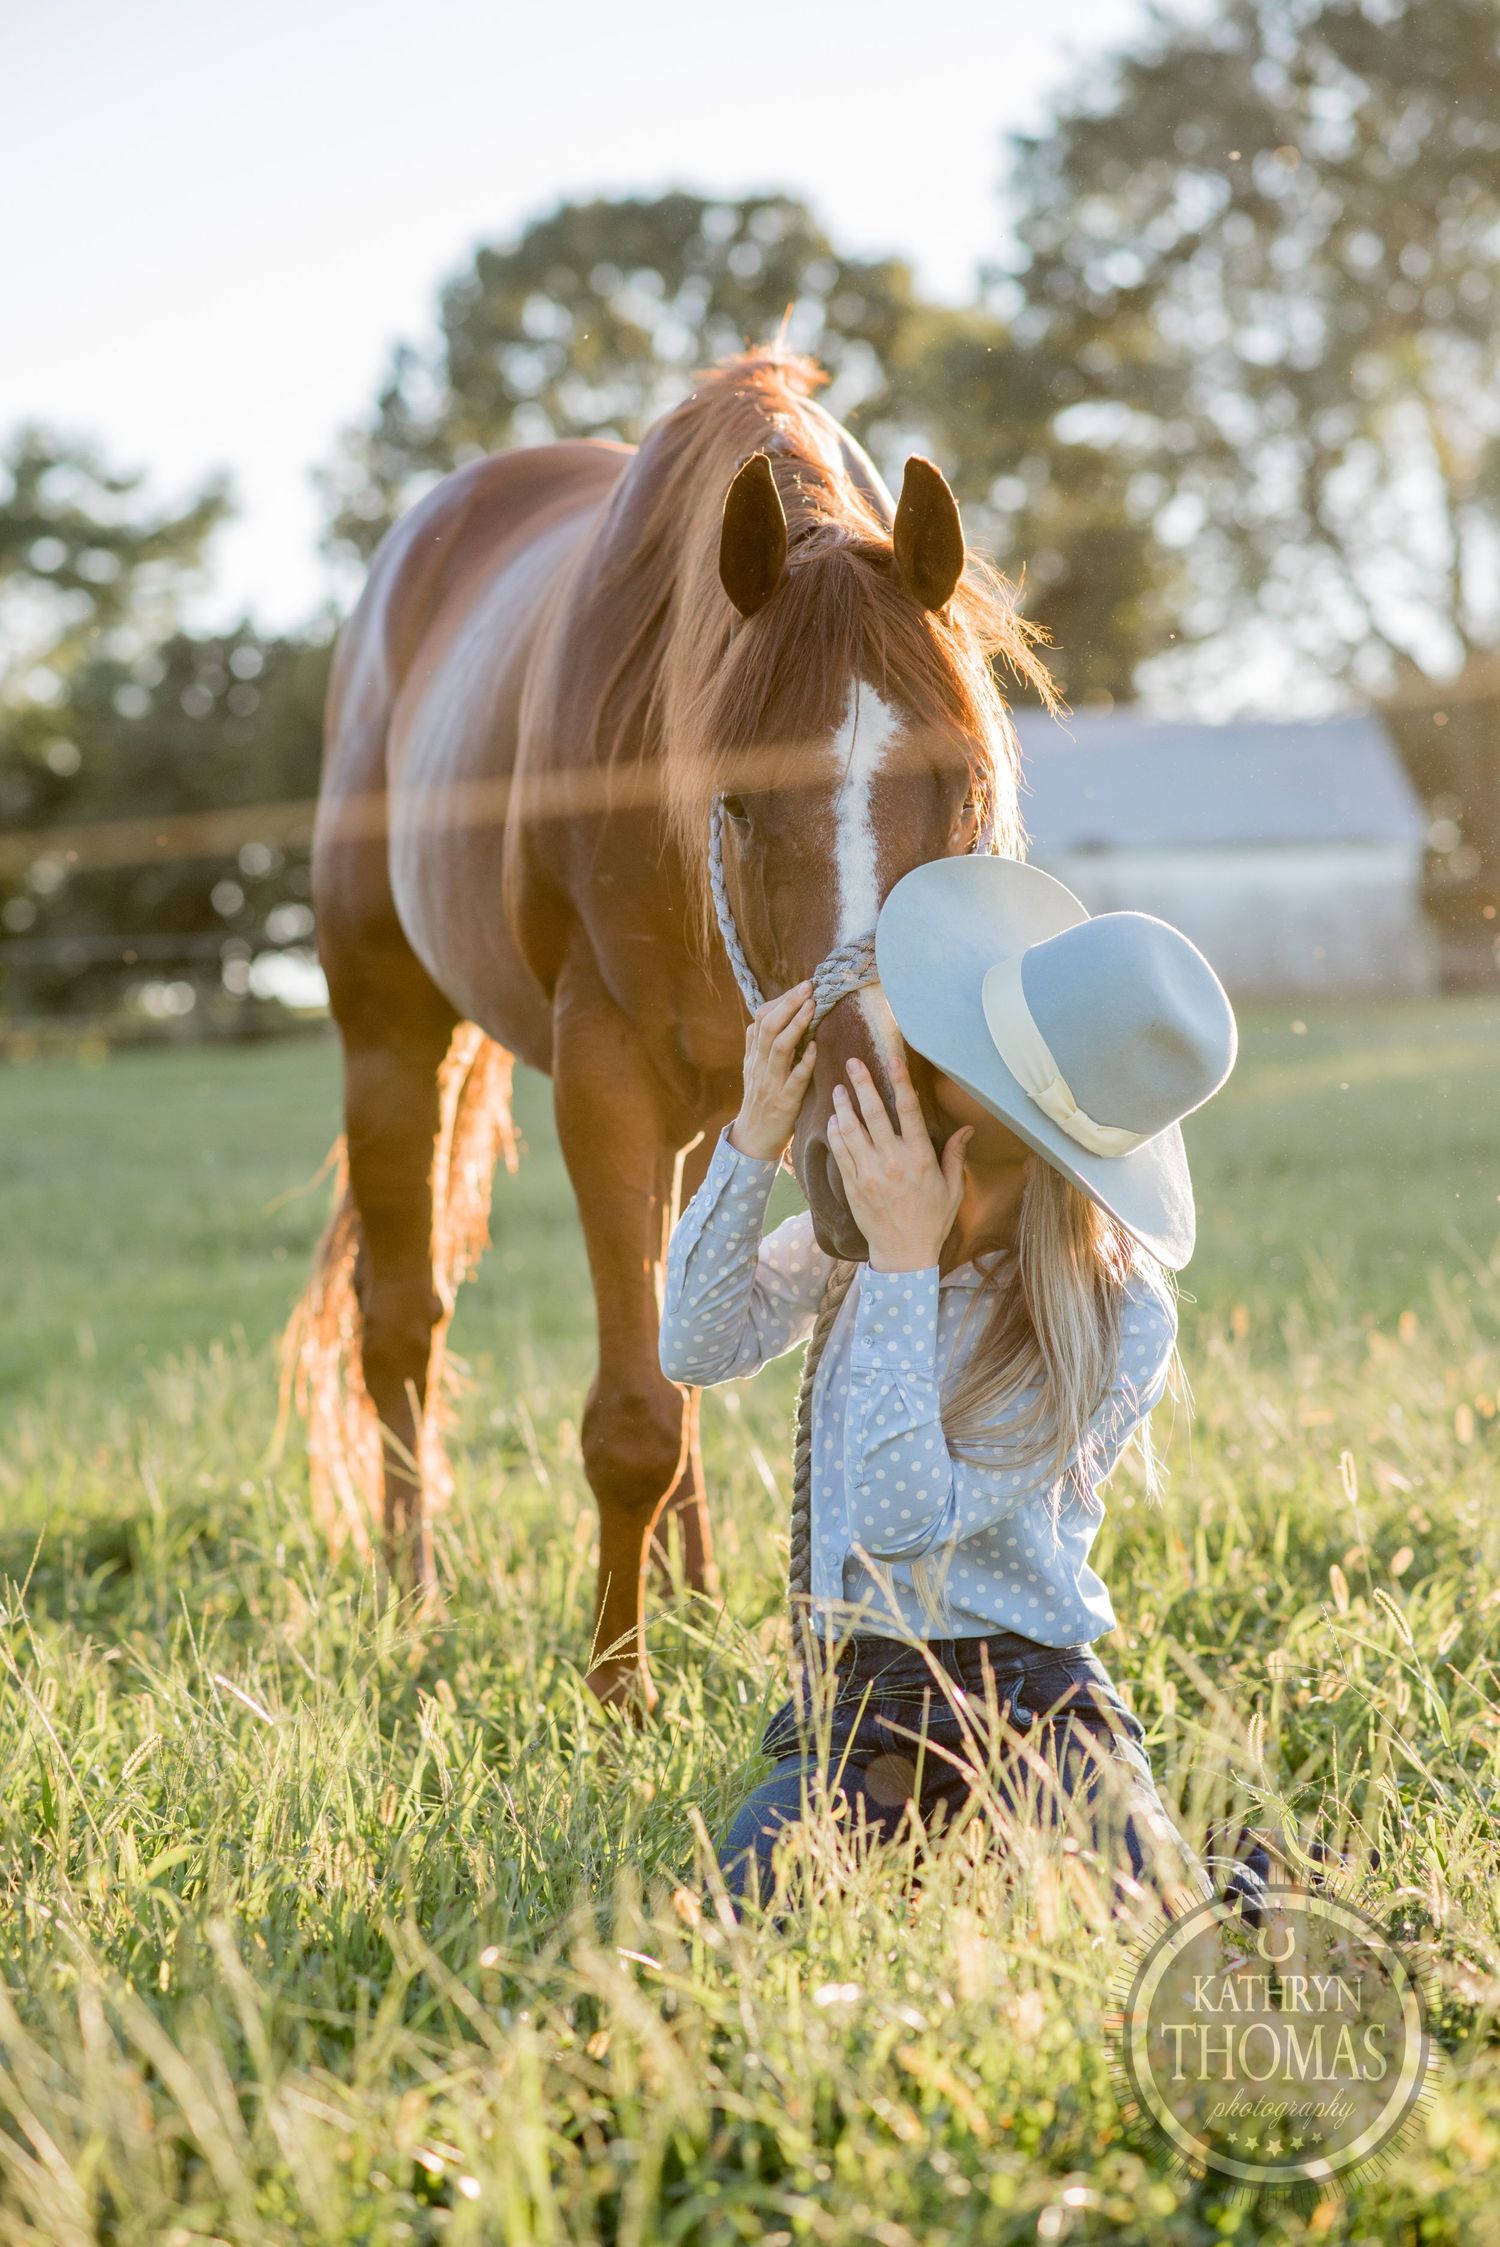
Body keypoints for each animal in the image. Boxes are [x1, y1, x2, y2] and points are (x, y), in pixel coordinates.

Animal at [288, 348, 1053, 1709]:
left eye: (965, 780)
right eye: (737, 804)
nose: (879, 1163)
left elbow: (682, 1365)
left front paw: (683, 1635)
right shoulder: (603, 1078)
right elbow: (631, 1418)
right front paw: (617, 1695)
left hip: (701, 1123)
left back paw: (688, 1600)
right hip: (390, 1033)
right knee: (402, 1322)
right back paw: (413, 1596)